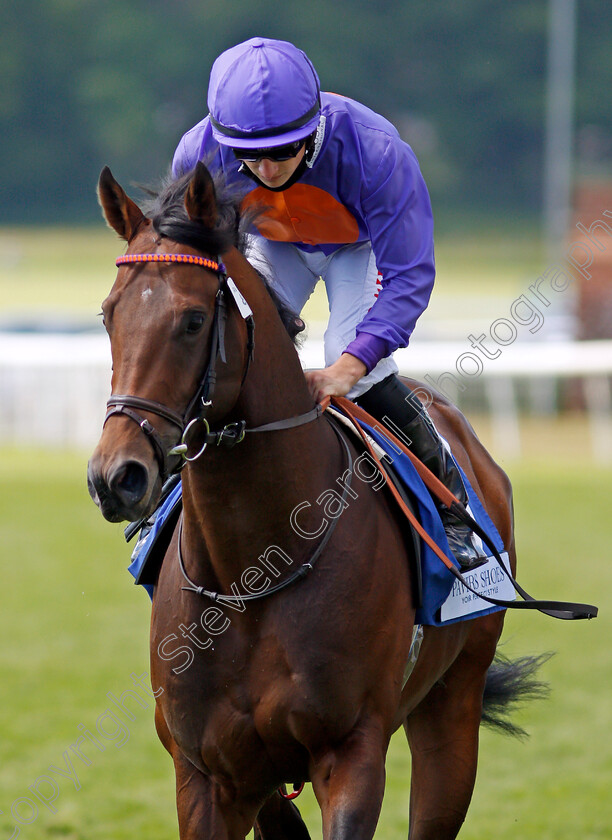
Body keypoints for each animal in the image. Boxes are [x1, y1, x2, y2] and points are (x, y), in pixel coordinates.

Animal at [87, 164, 540, 840]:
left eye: (192, 320)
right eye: (108, 314)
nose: (116, 477)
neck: (253, 571)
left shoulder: (351, 751)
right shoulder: (207, 773)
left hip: (453, 703)